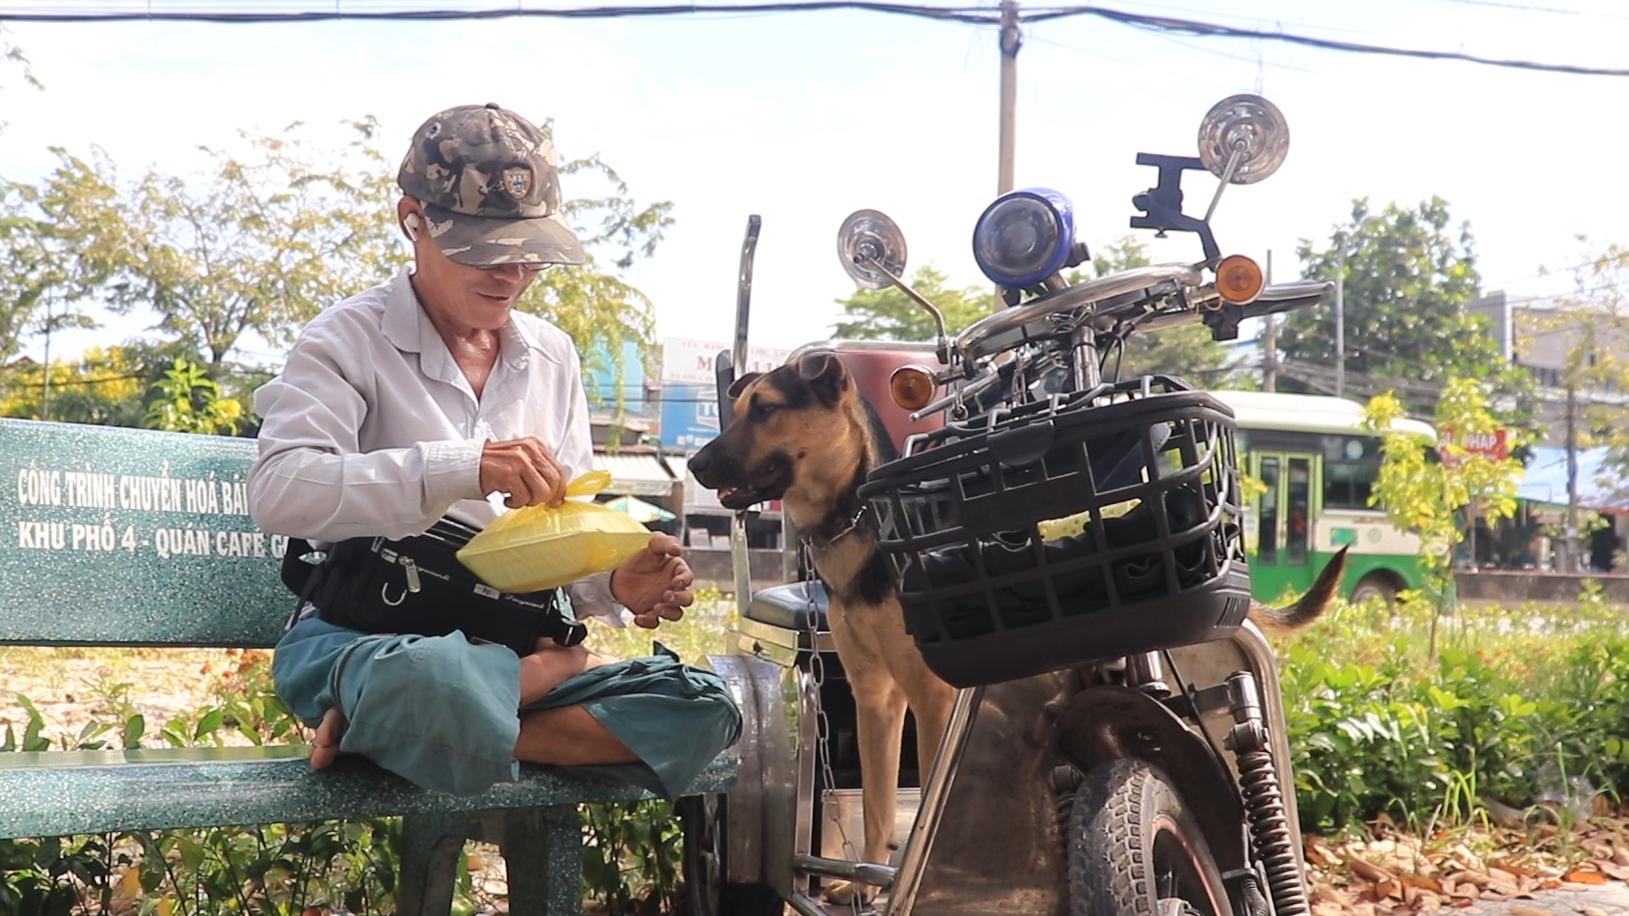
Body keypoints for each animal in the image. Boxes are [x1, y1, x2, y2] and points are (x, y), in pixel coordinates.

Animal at [687, 348, 1348, 899]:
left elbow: (922, 802)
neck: (858, 520)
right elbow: (875, 804)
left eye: (766, 410)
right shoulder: (875, 695)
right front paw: (868, 881)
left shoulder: (931, 698)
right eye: (737, 409)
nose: (695, 463)